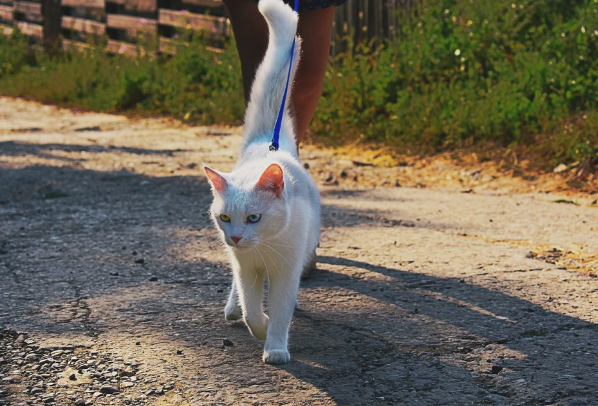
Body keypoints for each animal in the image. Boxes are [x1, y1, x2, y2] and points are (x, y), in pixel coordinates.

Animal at [204, 0, 322, 364]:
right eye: (225, 217)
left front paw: (276, 348)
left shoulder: (286, 273)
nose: (236, 236)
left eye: (254, 217)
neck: (264, 248)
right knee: (236, 291)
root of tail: (268, 144)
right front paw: (259, 325)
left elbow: (282, 311)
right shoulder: (248, 270)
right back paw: (231, 307)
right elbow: (251, 309)